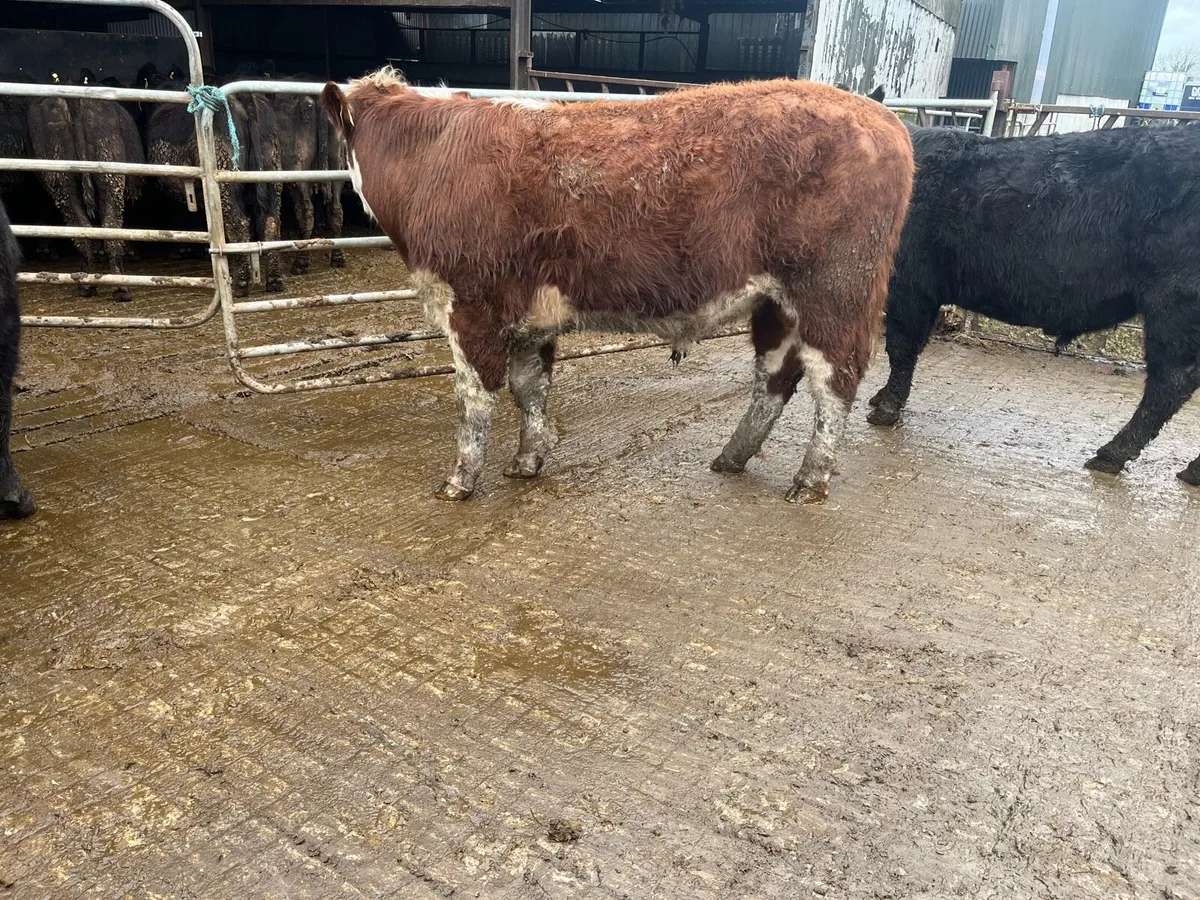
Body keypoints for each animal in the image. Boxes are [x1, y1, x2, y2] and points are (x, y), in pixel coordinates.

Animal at [27, 71, 145, 301]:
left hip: (64, 181)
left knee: (85, 228)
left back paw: (91, 284)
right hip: (108, 176)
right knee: (107, 227)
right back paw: (119, 287)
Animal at [319, 70, 915, 502]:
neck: (433, 155)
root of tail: (881, 117)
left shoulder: (469, 306)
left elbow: (475, 398)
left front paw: (460, 482)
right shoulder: (531, 316)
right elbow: (530, 388)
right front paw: (527, 462)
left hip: (833, 294)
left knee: (833, 381)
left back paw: (809, 480)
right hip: (776, 304)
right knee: (775, 378)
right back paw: (731, 457)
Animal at [865, 118, 1200, 487]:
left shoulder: (910, 286)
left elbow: (902, 347)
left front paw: (886, 407)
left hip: (1175, 305)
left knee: (1171, 383)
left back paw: (1112, 454)